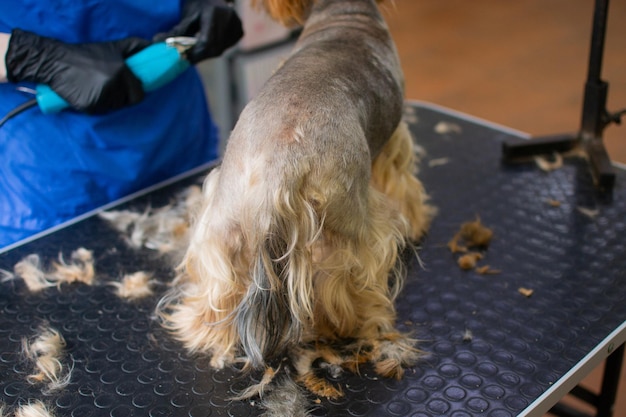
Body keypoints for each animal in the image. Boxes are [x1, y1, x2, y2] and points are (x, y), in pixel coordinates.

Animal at [157, 0, 428, 398]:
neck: (344, 13)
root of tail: (278, 170)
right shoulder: (393, 141)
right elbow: (403, 184)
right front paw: (417, 220)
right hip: (343, 226)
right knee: (342, 286)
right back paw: (349, 325)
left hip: (222, 225)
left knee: (217, 287)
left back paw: (202, 330)